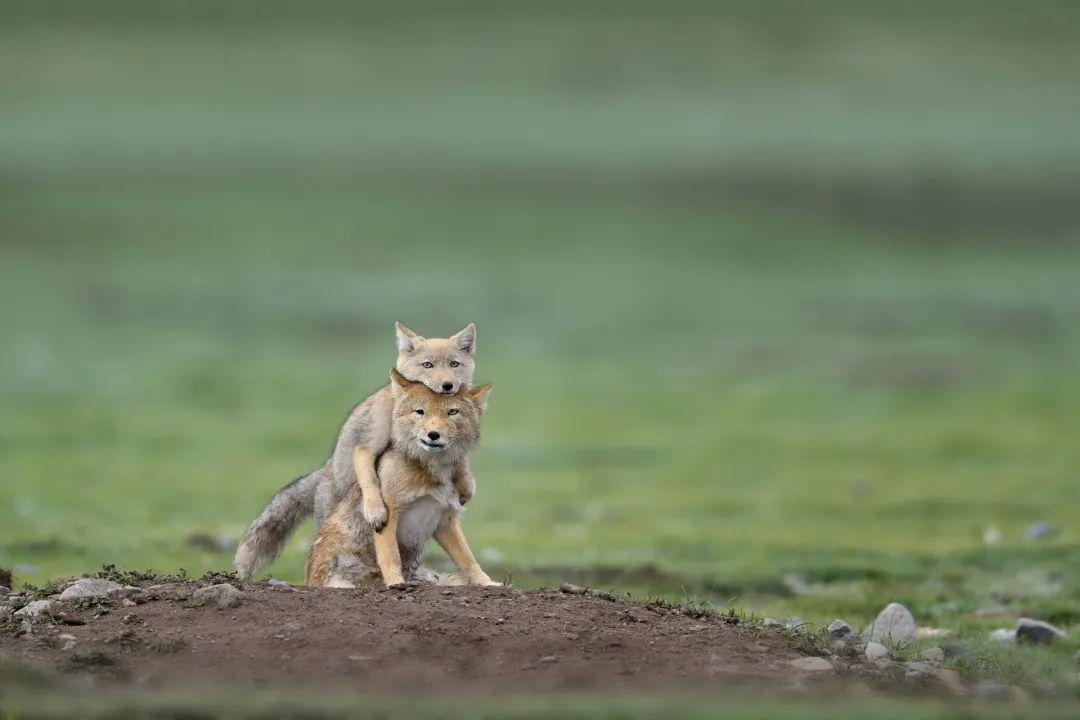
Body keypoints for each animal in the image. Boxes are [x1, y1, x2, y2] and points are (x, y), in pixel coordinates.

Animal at [236, 321, 477, 578]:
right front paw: (375, 511)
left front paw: (466, 484)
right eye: (427, 365)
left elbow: (460, 461)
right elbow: (371, 480)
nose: (447, 385)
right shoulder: (368, 446)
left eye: (454, 364)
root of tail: (324, 470)